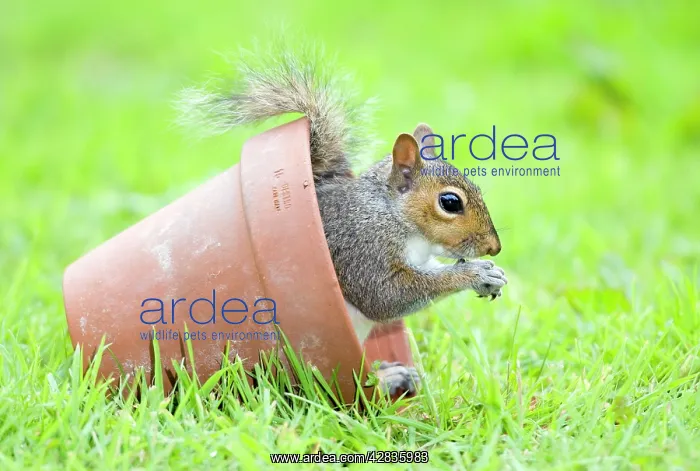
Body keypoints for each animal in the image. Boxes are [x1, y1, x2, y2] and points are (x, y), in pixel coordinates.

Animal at [178, 51, 507, 397]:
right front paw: (475, 273)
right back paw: (387, 379)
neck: (391, 215)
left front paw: (493, 274)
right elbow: (387, 297)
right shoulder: (362, 247)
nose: (494, 248)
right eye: (450, 202)